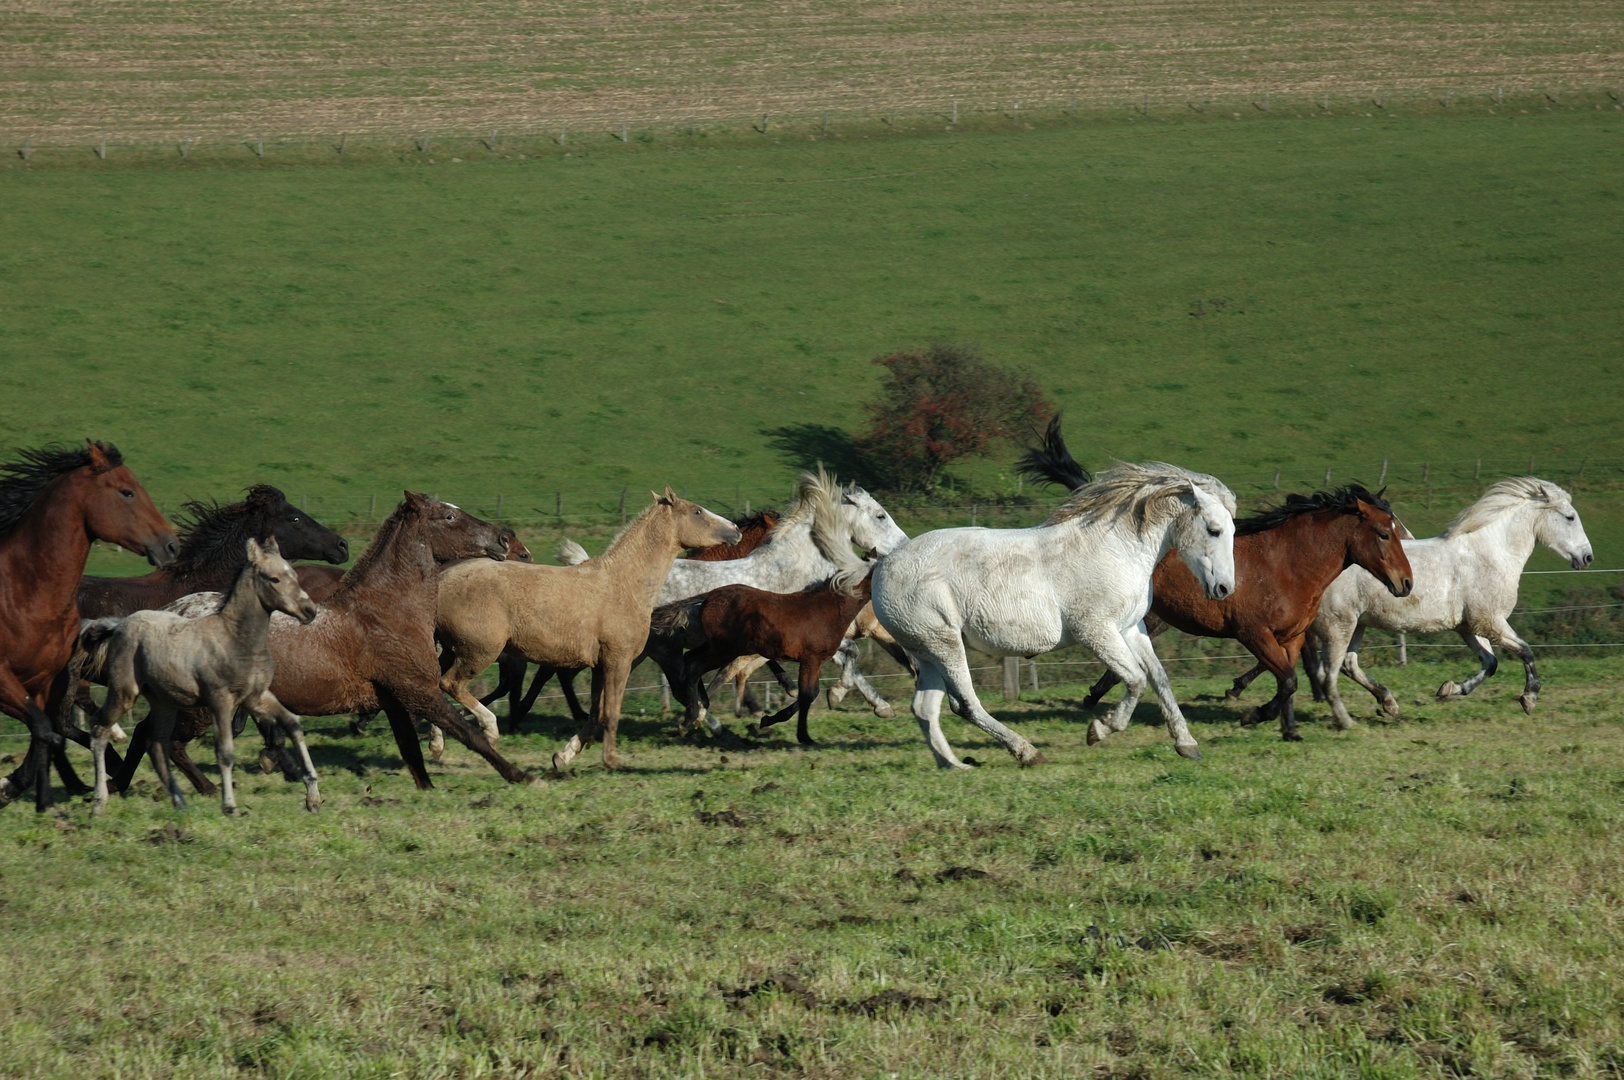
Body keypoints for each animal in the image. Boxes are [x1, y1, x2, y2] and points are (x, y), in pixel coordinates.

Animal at [0, 441, 177, 808]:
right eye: (127, 492)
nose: (171, 545)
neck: (23, 593)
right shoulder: (3, 680)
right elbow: (46, 730)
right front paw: (9, 787)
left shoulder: (44, 681)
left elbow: (46, 735)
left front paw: (42, 802)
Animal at [431, 487, 737, 766]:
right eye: (697, 512)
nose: (735, 530)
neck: (624, 585)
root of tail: (442, 580)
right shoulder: (618, 661)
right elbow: (610, 713)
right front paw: (611, 761)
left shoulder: (600, 666)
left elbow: (595, 714)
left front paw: (563, 756)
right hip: (479, 652)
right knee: (450, 684)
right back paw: (489, 730)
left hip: (449, 651)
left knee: (435, 687)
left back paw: (437, 744)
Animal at [876, 451, 1227, 766]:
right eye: (1215, 530)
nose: (1223, 589)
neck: (1117, 549)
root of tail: (885, 565)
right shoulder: (1095, 631)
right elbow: (1136, 680)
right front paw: (1099, 730)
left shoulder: (1130, 628)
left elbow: (1159, 678)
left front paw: (1187, 744)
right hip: (944, 645)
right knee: (965, 704)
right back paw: (1027, 753)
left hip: (928, 652)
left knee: (925, 708)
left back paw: (954, 765)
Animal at [1292, 477, 1598, 724]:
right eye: (1570, 517)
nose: (1587, 557)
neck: (1491, 554)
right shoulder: (1492, 622)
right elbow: (1526, 650)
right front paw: (1529, 699)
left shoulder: (1471, 627)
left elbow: (1490, 663)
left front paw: (1447, 690)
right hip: (1339, 625)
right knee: (1331, 670)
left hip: (1358, 624)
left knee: (1349, 665)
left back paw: (1389, 704)